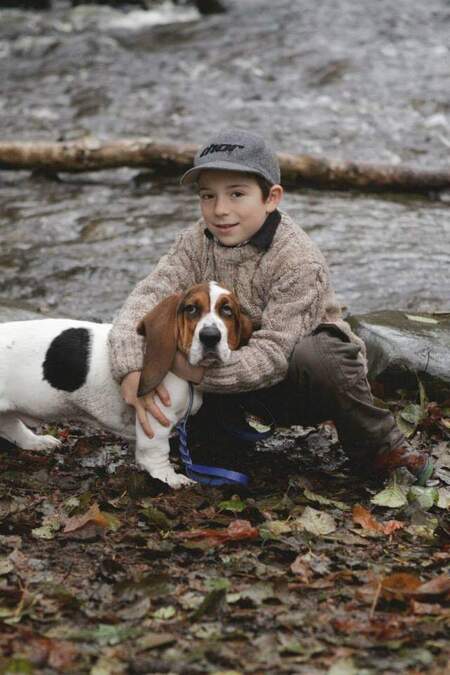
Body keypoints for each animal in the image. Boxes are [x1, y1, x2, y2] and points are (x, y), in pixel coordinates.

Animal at [0, 282, 253, 488]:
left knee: (11, 426)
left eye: (227, 310)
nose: (210, 337)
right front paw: (168, 477)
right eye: (191, 309)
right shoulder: (156, 418)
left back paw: (36, 442)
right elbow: (156, 452)